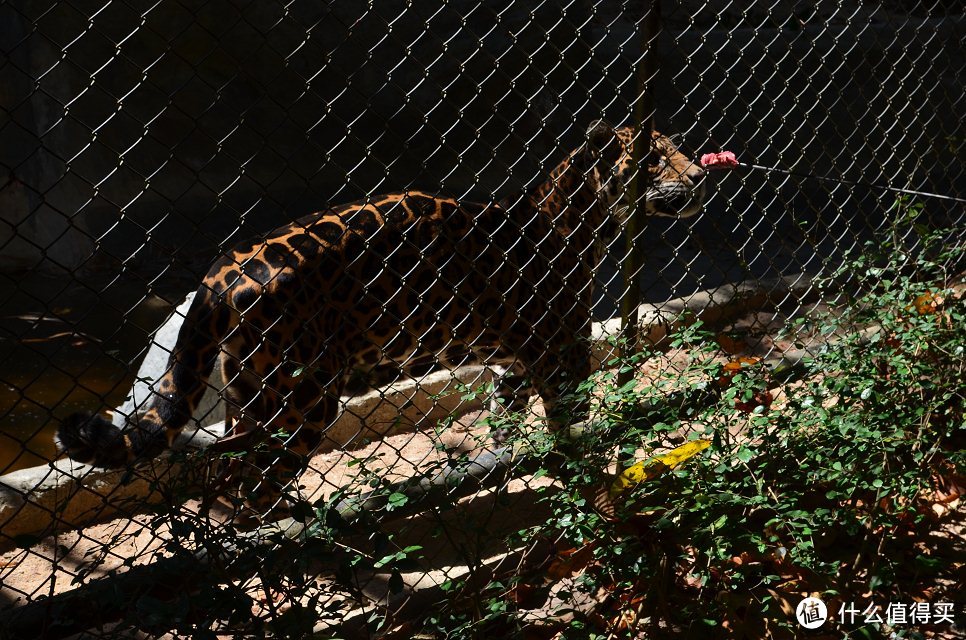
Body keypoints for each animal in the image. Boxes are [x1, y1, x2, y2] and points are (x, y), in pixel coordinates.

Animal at [58, 121, 712, 520]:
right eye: (655, 159)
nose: (702, 175)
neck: (579, 216)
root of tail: (219, 272)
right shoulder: (563, 353)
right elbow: (573, 429)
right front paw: (594, 482)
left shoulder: (517, 363)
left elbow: (508, 421)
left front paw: (509, 465)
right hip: (302, 399)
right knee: (246, 483)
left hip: (255, 393)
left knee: (228, 465)